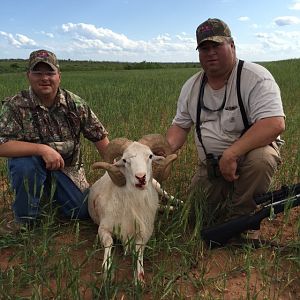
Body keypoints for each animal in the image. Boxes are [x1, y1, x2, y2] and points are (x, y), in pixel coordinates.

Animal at [86, 134, 177, 284]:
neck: (131, 205)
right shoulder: (103, 229)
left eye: (150, 156)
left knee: (169, 197)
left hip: (158, 186)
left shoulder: (144, 233)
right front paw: (107, 272)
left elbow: (139, 249)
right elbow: (109, 243)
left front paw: (139, 277)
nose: (141, 178)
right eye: (124, 160)